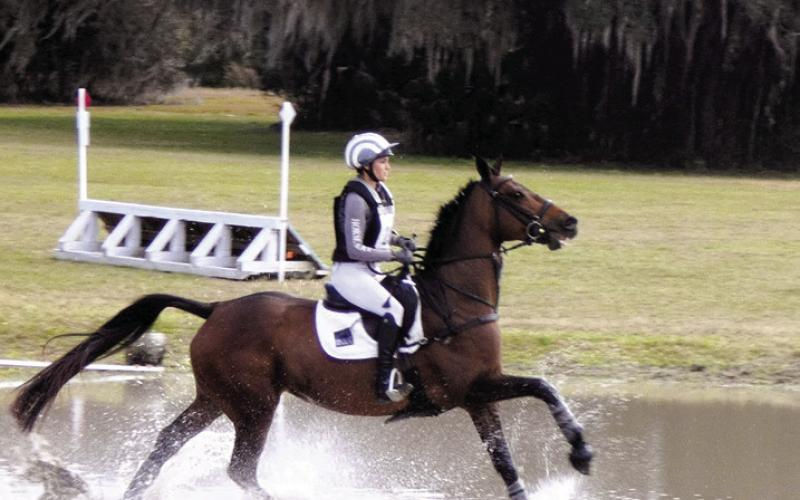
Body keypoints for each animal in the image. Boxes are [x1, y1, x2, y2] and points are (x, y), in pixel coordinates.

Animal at [10, 157, 592, 500]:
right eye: (514, 194)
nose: (570, 223)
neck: (455, 299)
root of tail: (216, 308)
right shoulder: (471, 388)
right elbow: (545, 388)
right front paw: (581, 453)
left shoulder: (477, 397)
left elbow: (506, 463)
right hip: (254, 405)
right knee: (240, 471)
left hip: (216, 398)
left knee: (166, 443)